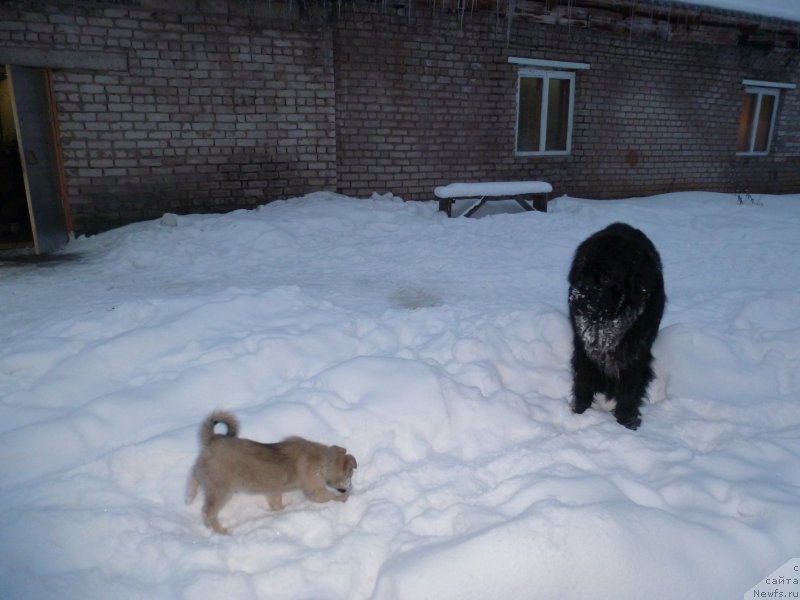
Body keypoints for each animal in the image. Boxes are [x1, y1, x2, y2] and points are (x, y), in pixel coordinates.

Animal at [188, 412, 356, 536]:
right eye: (350, 475)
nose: (350, 488)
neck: (325, 462)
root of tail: (212, 439)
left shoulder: (274, 491)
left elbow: (277, 505)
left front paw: (282, 510)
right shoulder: (315, 490)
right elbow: (331, 497)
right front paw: (344, 498)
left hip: (206, 477)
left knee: (194, 477)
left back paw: (189, 497)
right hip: (221, 491)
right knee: (208, 512)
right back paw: (221, 531)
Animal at [564, 223, 664, 428]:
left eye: (605, 278)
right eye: (582, 271)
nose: (576, 299)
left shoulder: (636, 350)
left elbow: (629, 389)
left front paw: (627, 421)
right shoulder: (584, 347)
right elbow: (583, 381)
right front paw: (579, 413)